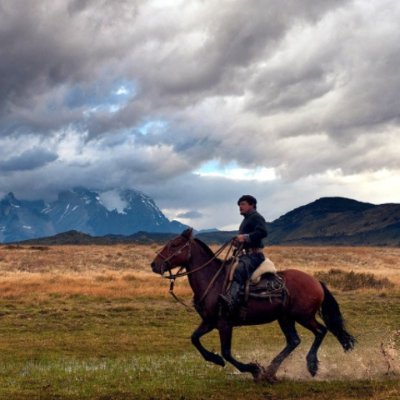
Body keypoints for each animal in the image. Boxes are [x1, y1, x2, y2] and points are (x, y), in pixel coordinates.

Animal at [149, 228, 354, 382]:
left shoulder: (224, 323)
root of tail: (316, 281)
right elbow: (194, 339)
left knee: (320, 331)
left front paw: (253, 369)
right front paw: (215, 359)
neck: (212, 280)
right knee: (294, 340)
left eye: (174, 245)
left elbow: (227, 352)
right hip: (285, 318)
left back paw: (310, 365)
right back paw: (270, 371)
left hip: (303, 316)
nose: (154, 265)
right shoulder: (209, 321)